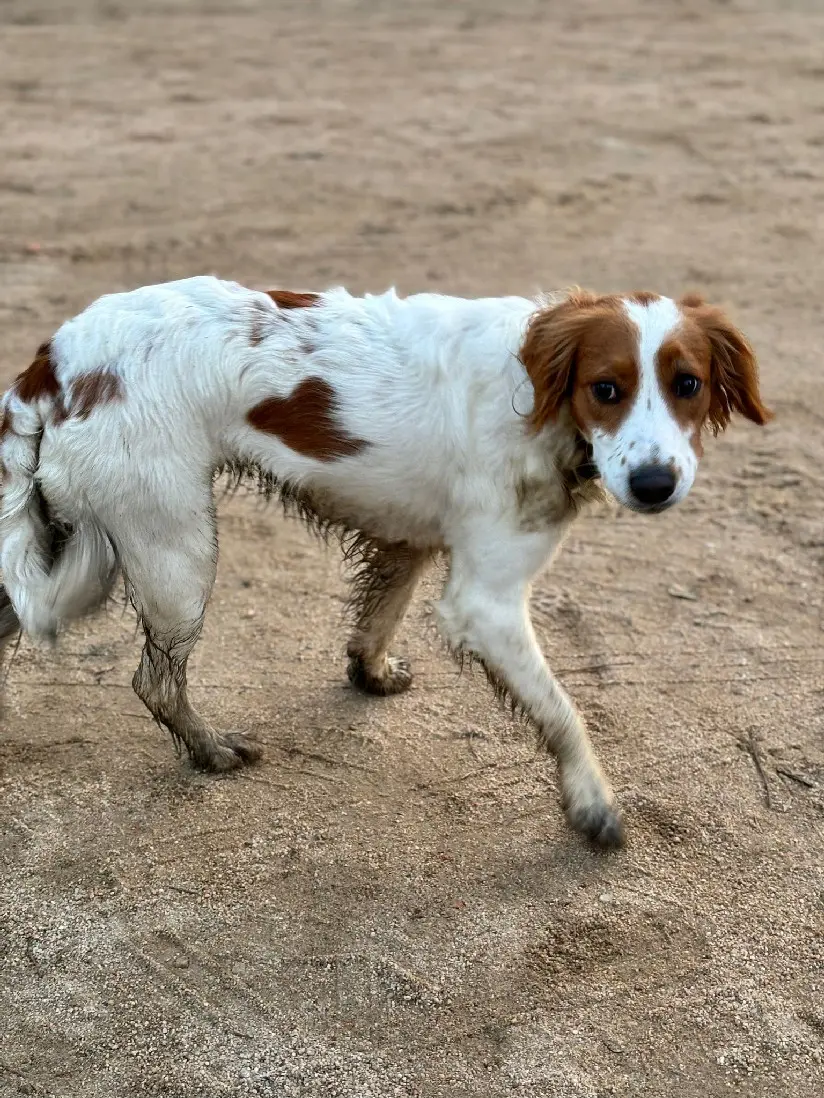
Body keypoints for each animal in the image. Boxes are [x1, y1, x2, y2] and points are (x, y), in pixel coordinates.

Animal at [0, 281, 773, 847]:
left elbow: (379, 615)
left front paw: (369, 673)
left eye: (688, 384)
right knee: (154, 681)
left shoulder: (411, 536)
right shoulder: (486, 602)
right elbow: (563, 711)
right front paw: (591, 804)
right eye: (606, 389)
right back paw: (210, 750)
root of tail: (55, 360)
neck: (537, 393)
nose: (654, 484)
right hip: (176, 553)